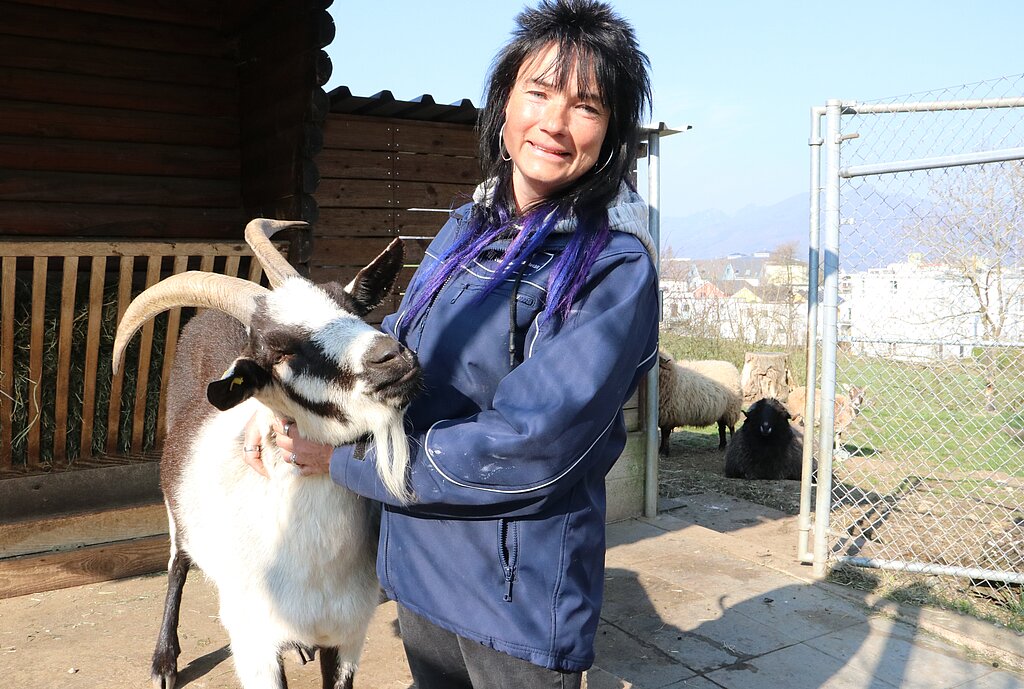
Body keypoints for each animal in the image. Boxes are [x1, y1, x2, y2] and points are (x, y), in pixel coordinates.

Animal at [110, 219, 417, 687]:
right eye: (281, 351)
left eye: (352, 308)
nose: (391, 357)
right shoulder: (253, 640)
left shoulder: (349, 634)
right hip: (176, 508)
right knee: (177, 562)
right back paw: (164, 661)